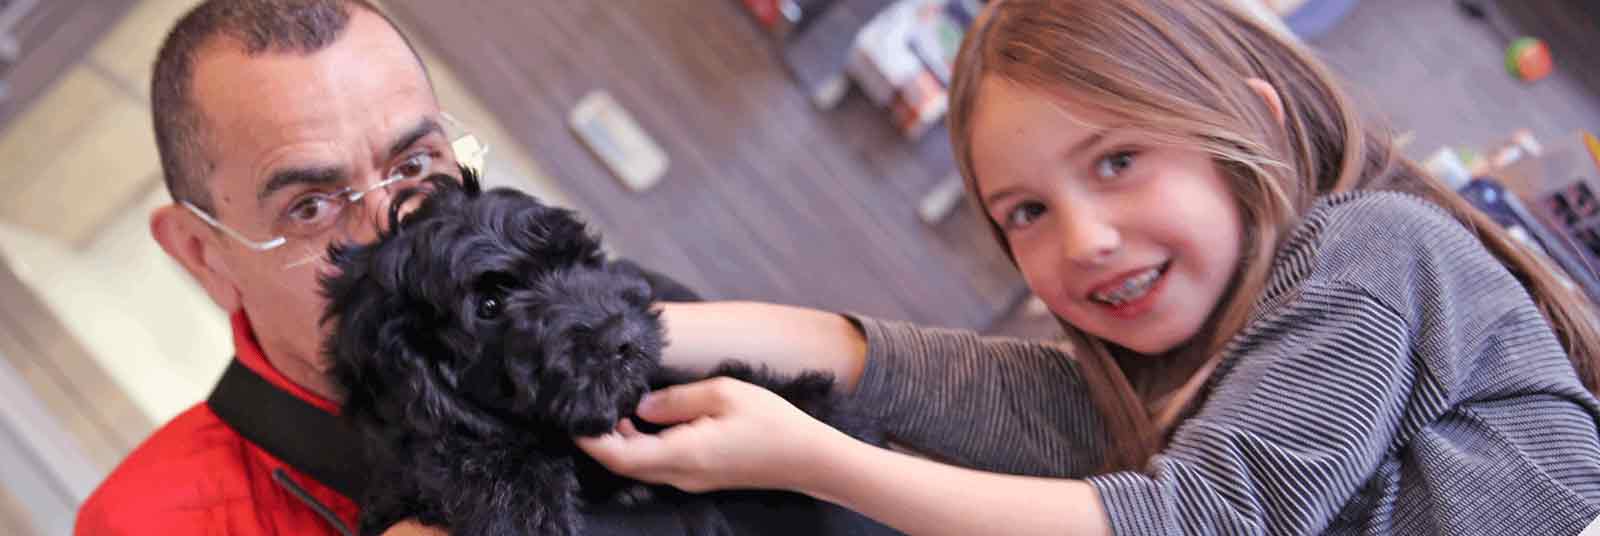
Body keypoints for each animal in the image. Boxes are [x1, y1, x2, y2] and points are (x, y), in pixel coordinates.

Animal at [318, 168, 883, 536]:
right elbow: (457, 452)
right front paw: (523, 499)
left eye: (576, 260)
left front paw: (814, 409)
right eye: (491, 305)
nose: (623, 338)